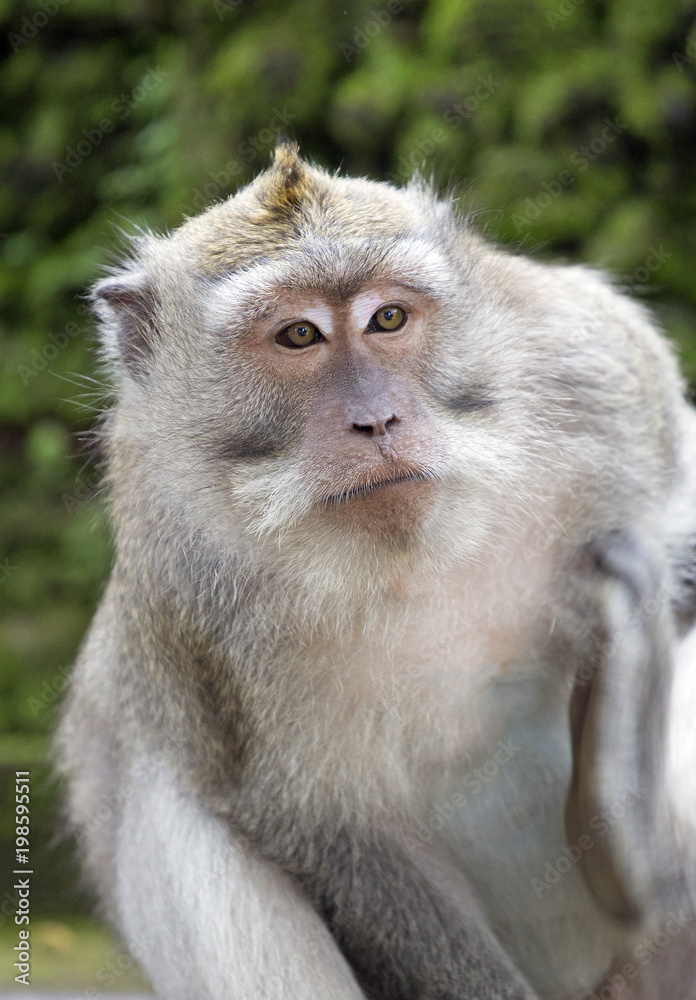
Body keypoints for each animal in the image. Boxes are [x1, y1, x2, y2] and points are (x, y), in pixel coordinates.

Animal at [57, 143, 696, 1000]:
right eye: (299, 335)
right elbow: (331, 828)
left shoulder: (591, 367)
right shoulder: (189, 577)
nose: (377, 419)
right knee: (173, 808)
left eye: (387, 318)